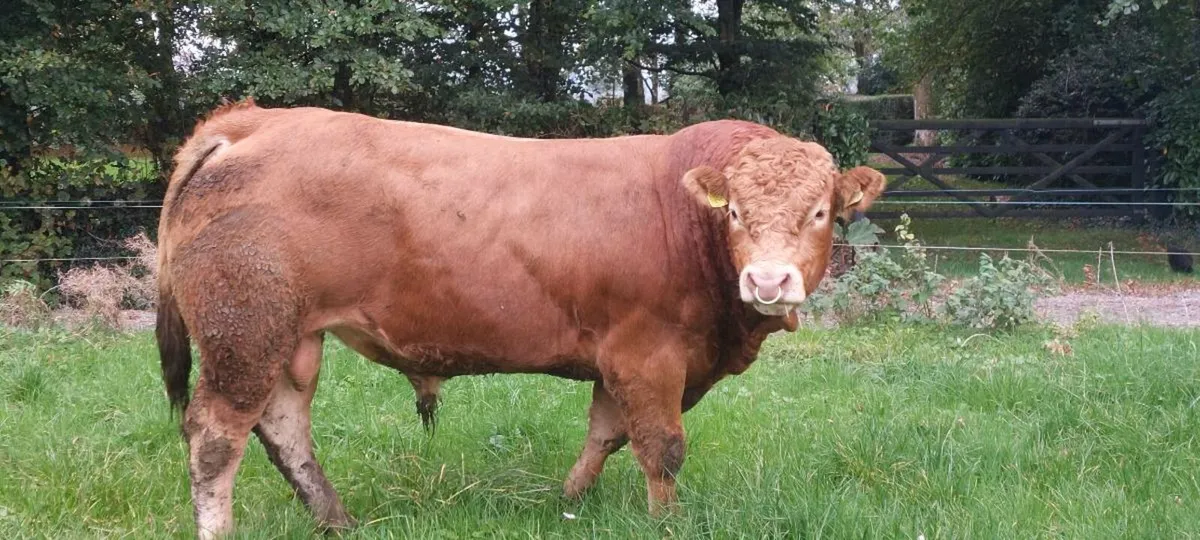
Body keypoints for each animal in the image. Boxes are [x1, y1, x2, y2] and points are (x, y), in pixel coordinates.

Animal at [155, 99, 886, 538]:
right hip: (246, 330)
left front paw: (569, 501)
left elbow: (605, 435)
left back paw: (337, 520)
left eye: (820, 211)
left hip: (288, 337)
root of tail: (251, 121)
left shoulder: (617, 358)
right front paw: (665, 522)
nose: (768, 280)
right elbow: (661, 447)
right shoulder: (647, 353)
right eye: (732, 211)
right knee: (216, 436)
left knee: (282, 427)